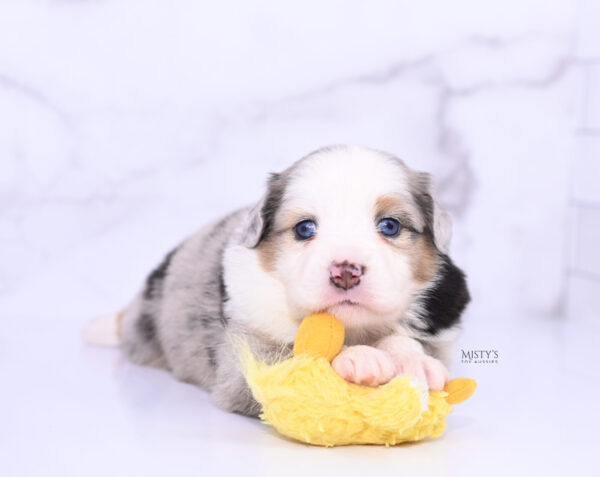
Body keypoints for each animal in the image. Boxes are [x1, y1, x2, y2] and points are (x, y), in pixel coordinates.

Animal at [85, 143, 468, 414]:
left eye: (389, 226)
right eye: (304, 229)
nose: (345, 271)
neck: (352, 327)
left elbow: (404, 339)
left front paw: (416, 361)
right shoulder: (244, 356)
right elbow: (295, 353)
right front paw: (358, 357)